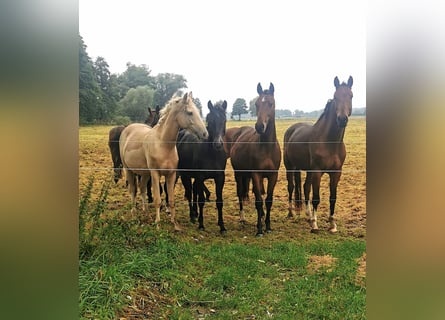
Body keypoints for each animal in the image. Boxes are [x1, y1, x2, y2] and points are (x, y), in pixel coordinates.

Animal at [118, 92, 208, 230]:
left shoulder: (171, 174)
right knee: (133, 190)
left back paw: (147, 214)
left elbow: (171, 199)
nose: (205, 134)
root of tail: (127, 129)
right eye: (189, 112)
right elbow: (157, 200)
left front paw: (175, 224)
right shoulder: (155, 174)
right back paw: (134, 216)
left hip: (145, 173)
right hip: (129, 170)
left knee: (142, 188)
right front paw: (158, 224)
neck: (163, 144)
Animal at [175, 101, 227, 234]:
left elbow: (219, 201)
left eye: (224, 120)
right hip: (185, 175)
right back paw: (192, 216)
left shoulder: (220, 178)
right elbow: (201, 200)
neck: (212, 154)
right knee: (189, 192)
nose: (218, 144)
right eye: (210, 120)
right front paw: (201, 224)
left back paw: (195, 213)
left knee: (193, 191)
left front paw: (222, 226)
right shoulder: (200, 177)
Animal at [227, 82, 280, 236]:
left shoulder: (273, 175)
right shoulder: (256, 174)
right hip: (239, 174)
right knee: (241, 194)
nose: (259, 126)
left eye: (271, 103)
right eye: (256, 104)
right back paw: (242, 218)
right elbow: (258, 201)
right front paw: (260, 230)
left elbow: (268, 200)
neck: (267, 147)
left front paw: (267, 226)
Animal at [284, 76, 354, 234]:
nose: (342, 119)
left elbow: (332, 197)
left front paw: (332, 225)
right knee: (291, 186)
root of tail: (292, 128)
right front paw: (315, 225)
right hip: (290, 166)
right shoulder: (317, 171)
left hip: (307, 170)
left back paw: (308, 215)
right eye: (335, 97)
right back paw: (291, 213)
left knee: (305, 187)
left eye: (351, 96)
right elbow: (316, 197)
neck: (329, 142)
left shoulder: (336, 173)